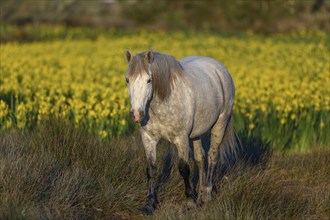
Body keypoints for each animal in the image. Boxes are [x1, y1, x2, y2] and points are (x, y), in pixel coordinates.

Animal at [125, 49, 238, 214]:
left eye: (149, 80)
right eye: (127, 80)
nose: (137, 115)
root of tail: (220, 68)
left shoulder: (181, 139)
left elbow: (184, 169)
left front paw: (189, 202)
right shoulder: (148, 138)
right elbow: (151, 170)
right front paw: (150, 204)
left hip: (220, 124)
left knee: (212, 156)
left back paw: (206, 195)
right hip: (196, 133)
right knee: (200, 158)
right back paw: (200, 195)